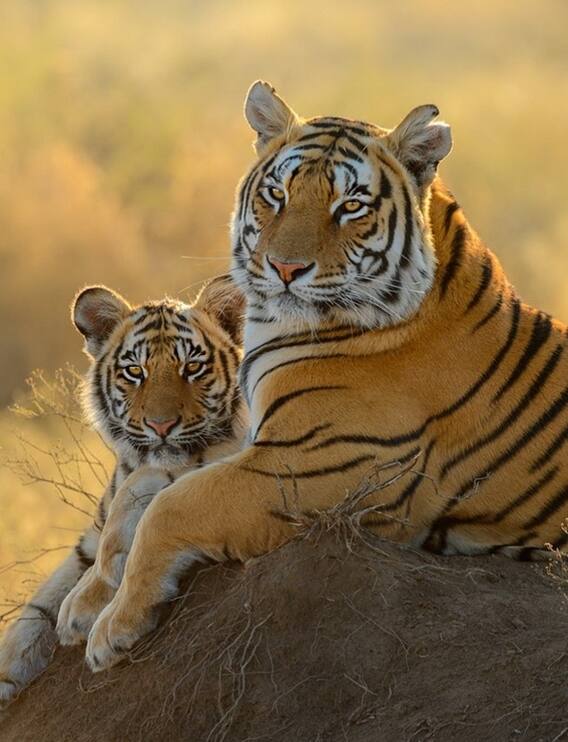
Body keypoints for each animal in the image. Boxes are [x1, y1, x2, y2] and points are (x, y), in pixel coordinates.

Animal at [0, 275, 247, 704]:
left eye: (192, 367)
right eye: (135, 371)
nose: (161, 426)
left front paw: (84, 605)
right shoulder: (86, 541)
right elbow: (37, 606)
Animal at [82, 80, 568, 674]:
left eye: (350, 206)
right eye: (277, 195)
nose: (285, 269)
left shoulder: (310, 466)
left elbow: (173, 506)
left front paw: (113, 628)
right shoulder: (254, 440)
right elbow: (149, 482)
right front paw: (88, 597)